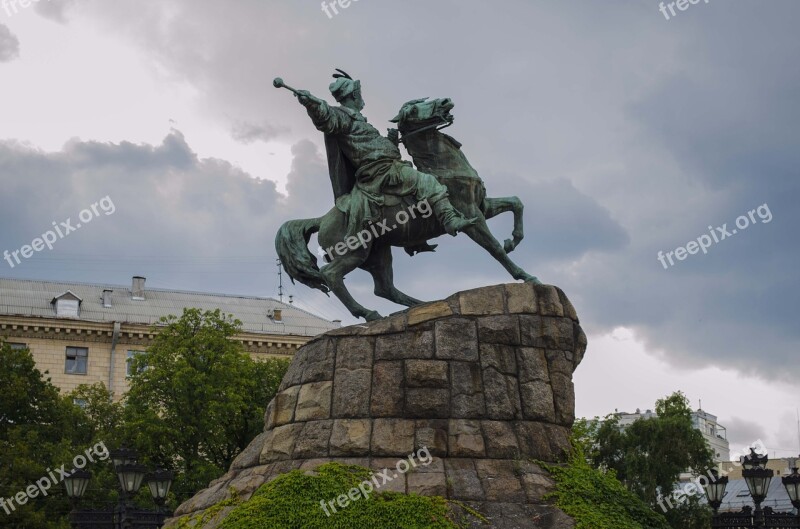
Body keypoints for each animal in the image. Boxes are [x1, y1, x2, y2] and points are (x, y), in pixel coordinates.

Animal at [274, 97, 536, 320]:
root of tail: (322, 220)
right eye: (412, 111)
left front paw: (514, 240)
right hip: (355, 252)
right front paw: (525, 275)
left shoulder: (482, 206)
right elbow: (494, 248)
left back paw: (420, 305)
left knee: (384, 288)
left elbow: (516, 202)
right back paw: (369, 313)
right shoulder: (472, 215)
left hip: (379, 253)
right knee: (331, 275)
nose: (445, 101)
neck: (442, 165)